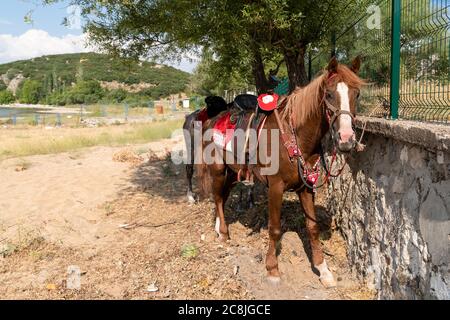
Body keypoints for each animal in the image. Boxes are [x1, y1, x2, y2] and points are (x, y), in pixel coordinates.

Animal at [200, 57, 366, 288]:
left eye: (356, 94)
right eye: (329, 94)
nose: (346, 140)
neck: (295, 136)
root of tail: (215, 118)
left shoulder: (306, 187)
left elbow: (312, 227)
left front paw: (323, 270)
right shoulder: (275, 188)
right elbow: (275, 228)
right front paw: (272, 269)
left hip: (233, 173)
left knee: (222, 197)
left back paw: (218, 227)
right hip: (217, 169)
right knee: (216, 197)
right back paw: (223, 233)